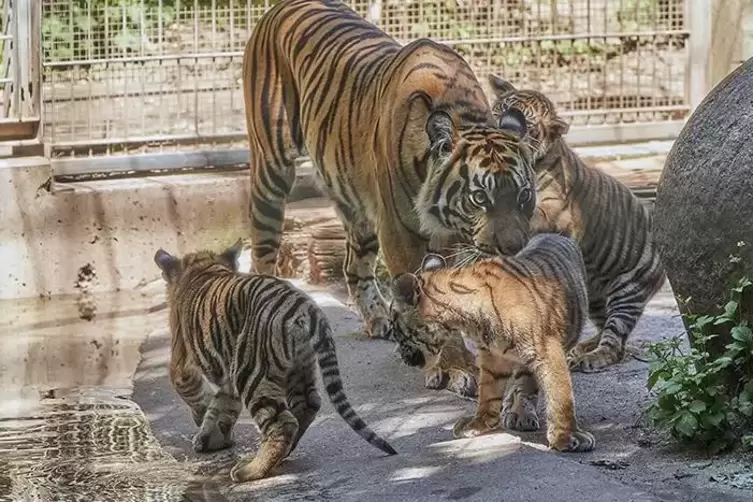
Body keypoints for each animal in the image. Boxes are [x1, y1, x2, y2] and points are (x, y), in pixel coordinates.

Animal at [244, 0, 532, 400]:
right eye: (479, 197)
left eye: (523, 195)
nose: (513, 248)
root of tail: (279, 8)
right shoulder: (400, 233)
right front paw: (453, 368)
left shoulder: (453, 239)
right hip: (271, 170)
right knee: (263, 252)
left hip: (359, 206)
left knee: (354, 265)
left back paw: (377, 318)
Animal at [488, 75, 664, 372]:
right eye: (499, 110)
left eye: (526, 124)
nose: (503, 131)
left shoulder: (552, 212)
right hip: (595, 297)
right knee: (605, 330)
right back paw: (581, 347)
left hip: (628, 291)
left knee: (614, 344)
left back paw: (590, 358)